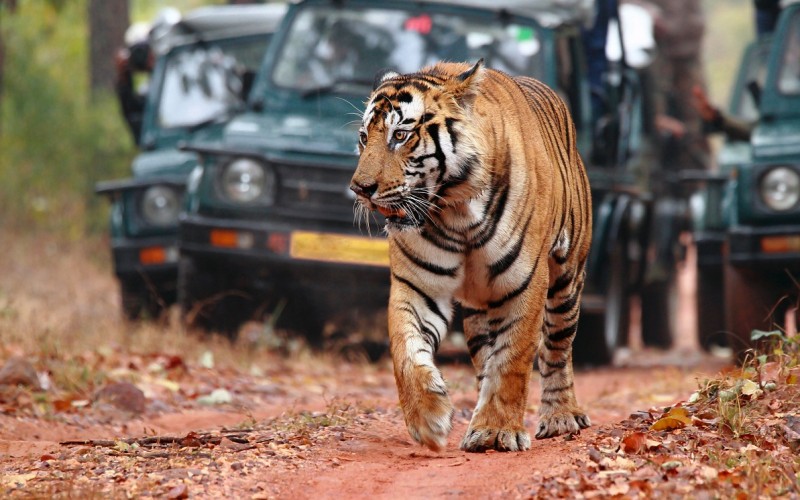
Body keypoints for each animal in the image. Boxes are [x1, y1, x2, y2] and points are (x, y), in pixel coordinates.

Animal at [352, 59, 592, 454]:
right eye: (362, 137)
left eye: (400, 136)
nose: (359, 189)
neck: (455, 211)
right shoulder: (417, 286)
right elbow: (406, 351)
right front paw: (429, 420)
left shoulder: (525, 283)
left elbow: (513, 359)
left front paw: (497, 430)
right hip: (481, 309)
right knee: (485, 357)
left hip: (566, 280)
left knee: (557, 349)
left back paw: (561, 416)